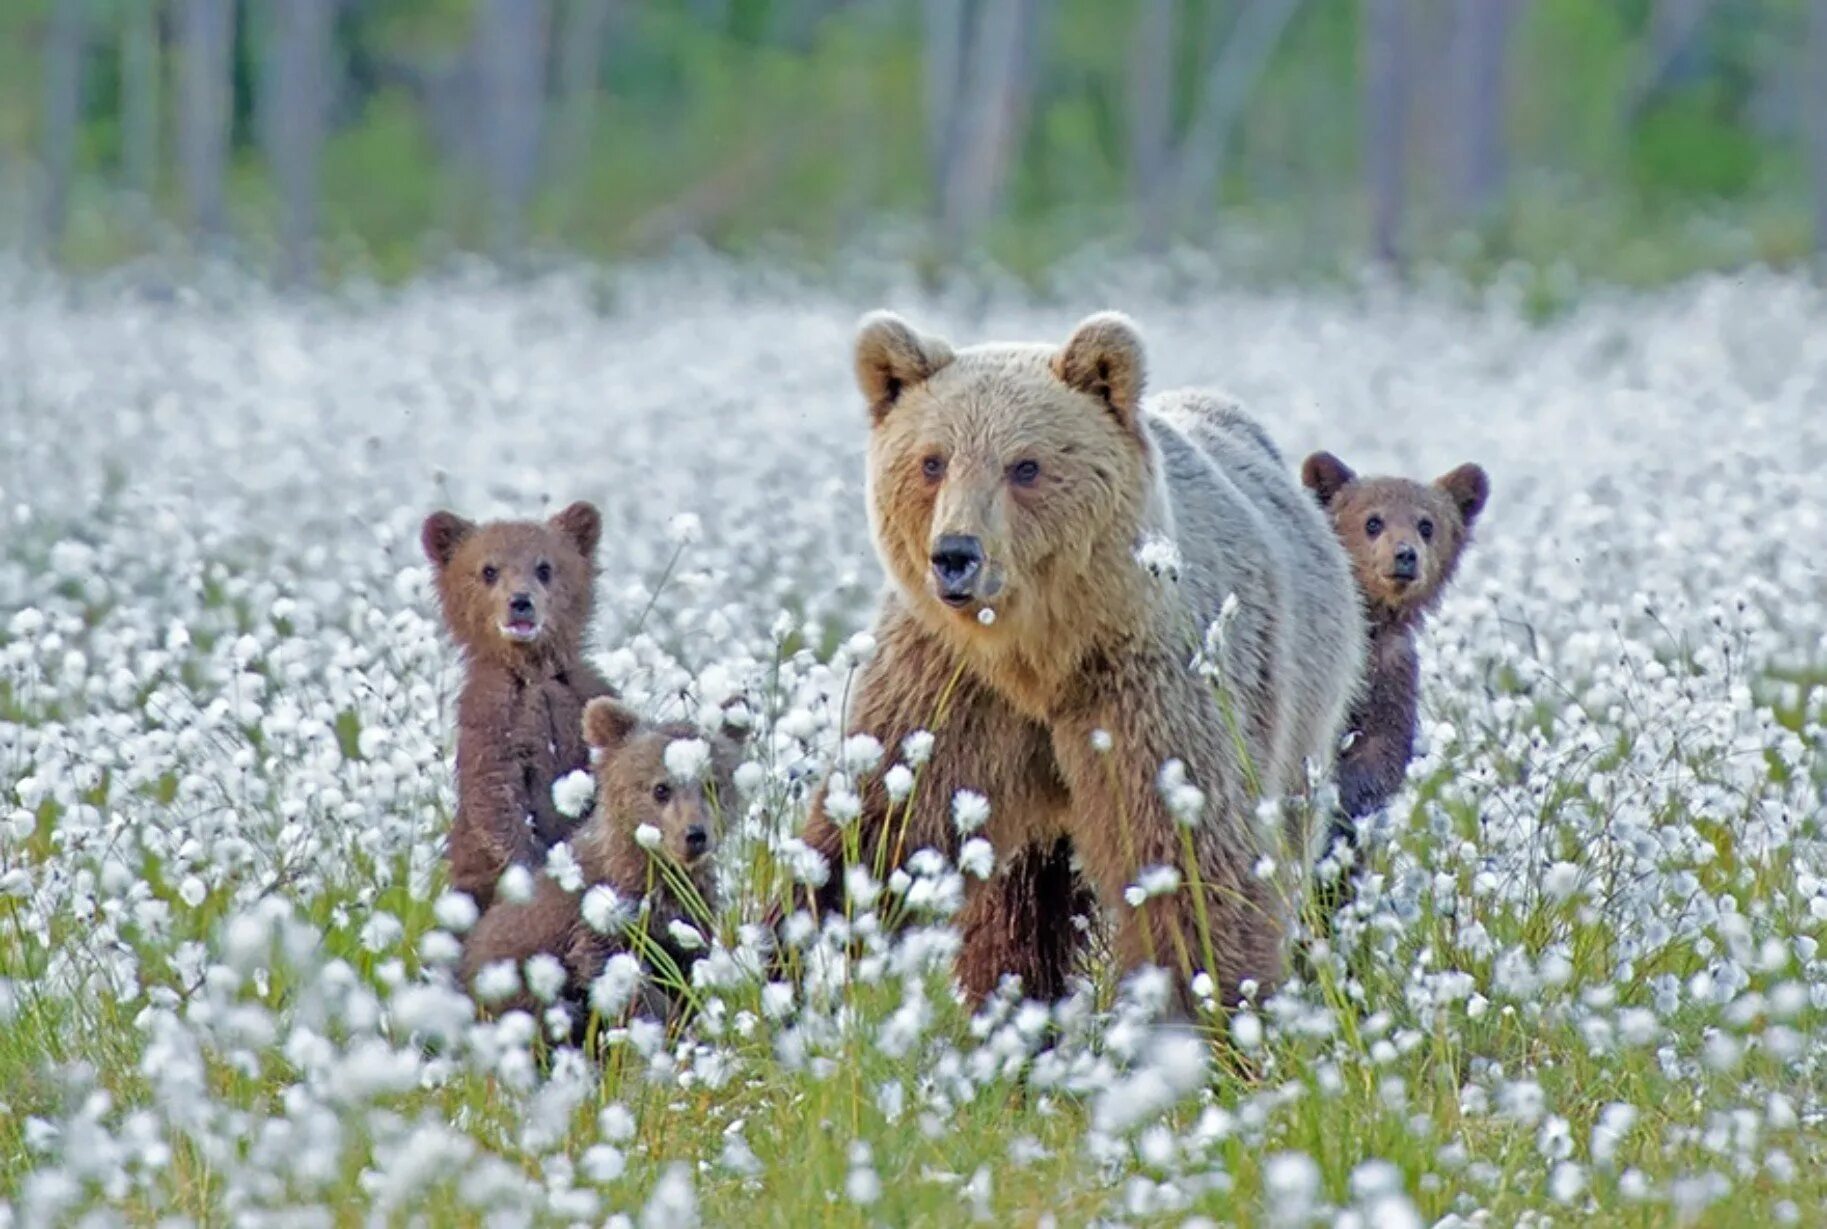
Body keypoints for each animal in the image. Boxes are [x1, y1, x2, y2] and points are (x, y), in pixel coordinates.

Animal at [418, 496, 613, 909]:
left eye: (545, 567)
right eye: (488, 570)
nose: (520, 602)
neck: (534, 672)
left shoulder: (580, 700)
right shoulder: (493, 722)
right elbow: (497, 803)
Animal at [456, 693, 741, 1029]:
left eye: (712, 785)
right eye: (661, 788)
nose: (695, 835)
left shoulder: (688, 915)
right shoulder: (596, 917)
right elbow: (615, 973)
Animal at [792, 312, 1366, 1008]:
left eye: (1025, 465)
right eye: (933, 460)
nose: (956, 555)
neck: (1040, 656)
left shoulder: (1148, 690)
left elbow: (1191, 861)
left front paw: (1211, 1004)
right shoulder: (948, 684)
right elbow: (878, 825)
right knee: (1018, 909)